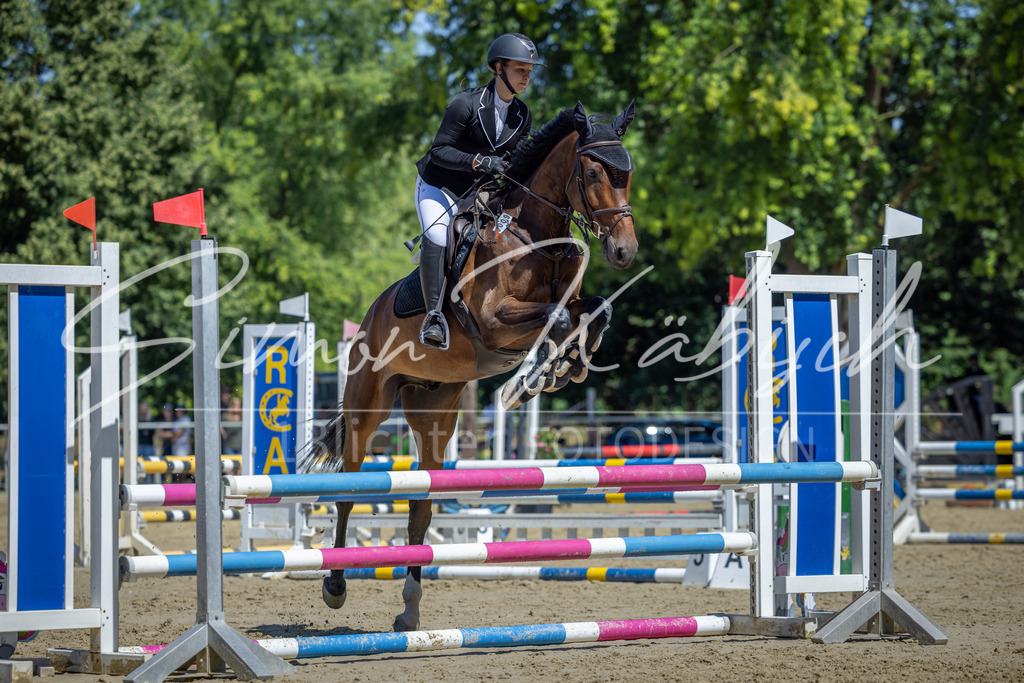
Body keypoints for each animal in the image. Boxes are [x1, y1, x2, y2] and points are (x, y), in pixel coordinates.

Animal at [301, 100, 638, 632]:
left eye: (628, 173)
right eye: (591, 172)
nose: (625, 251)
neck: (535, 238)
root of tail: (369, 318)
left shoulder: (567, 303)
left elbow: (596, 310)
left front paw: (563, 368)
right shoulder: (495, 321)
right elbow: (561, 317)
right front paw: (538, 376)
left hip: (434, 413)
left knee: (421, 505)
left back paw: (410, 609)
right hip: (366, 407)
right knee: (349, 488)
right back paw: (335, 587)